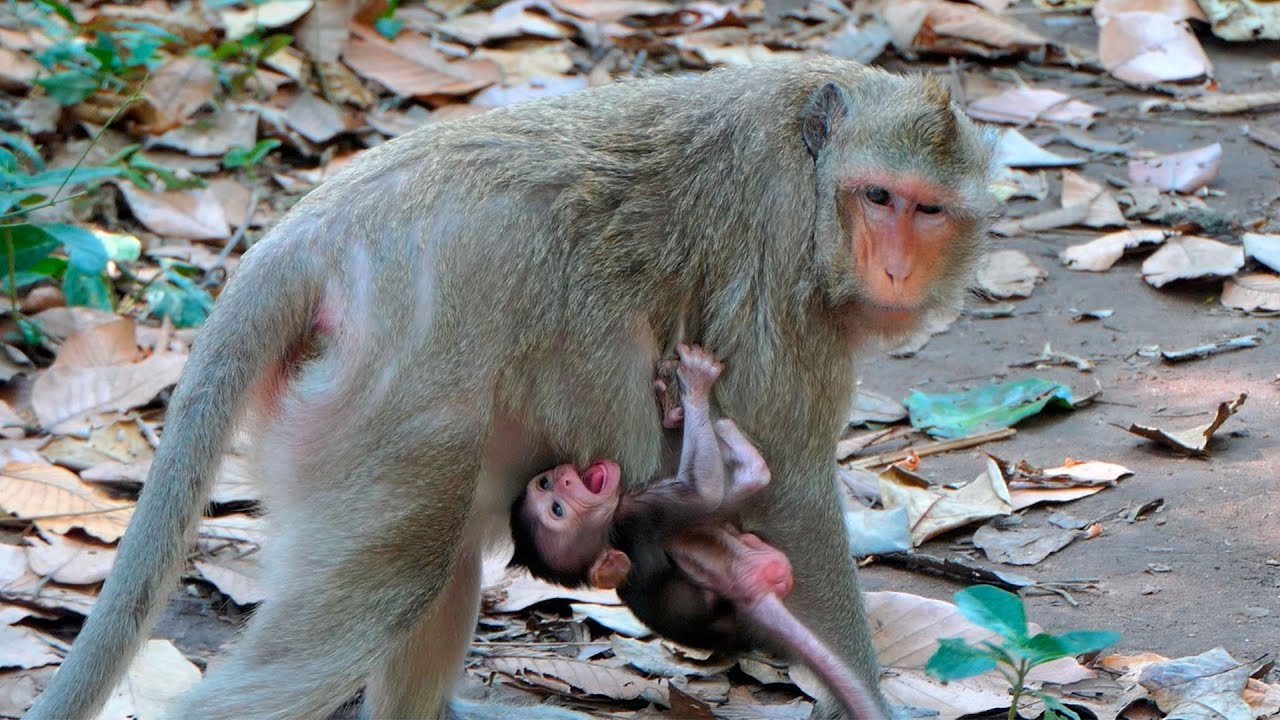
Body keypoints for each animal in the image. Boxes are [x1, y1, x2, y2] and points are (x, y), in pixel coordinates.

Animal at [26, 58, 995, 720]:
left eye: (927, 210)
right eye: (878, 198)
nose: (898, 269)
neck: (809, 150)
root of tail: (313, 231)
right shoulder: (781, 272)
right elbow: (789, 484)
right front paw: (866, 697)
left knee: (439, 557)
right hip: (399, 381)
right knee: (391, 581)